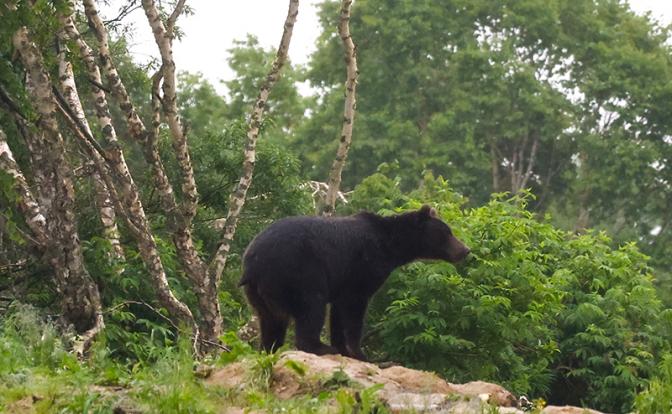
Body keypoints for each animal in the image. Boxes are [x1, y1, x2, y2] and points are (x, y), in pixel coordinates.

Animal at [239, 205, 470, 361]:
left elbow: (338, 314)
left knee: (271, 320)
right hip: (299, 271)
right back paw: (320, 347)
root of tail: (252, 263)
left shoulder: (343, 281)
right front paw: (359, 353)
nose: (465, 249)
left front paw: (343, 348)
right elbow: (354, 308)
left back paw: (268, 348)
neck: (391, 247)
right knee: (311, 306)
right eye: (447, 233)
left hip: (259, 293)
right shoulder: (363, 266)